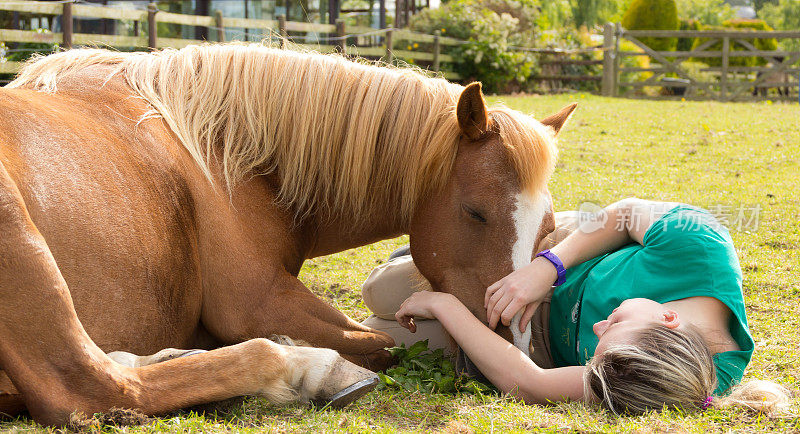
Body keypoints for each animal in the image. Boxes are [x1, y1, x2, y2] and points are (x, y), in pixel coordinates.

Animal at [1, 43, 576, 424]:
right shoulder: (256, 301)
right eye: (476, 213)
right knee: (85, 385)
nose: (510, 340)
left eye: (548, 229)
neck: (226, 152)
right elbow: (377, 343)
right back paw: (310, 368)